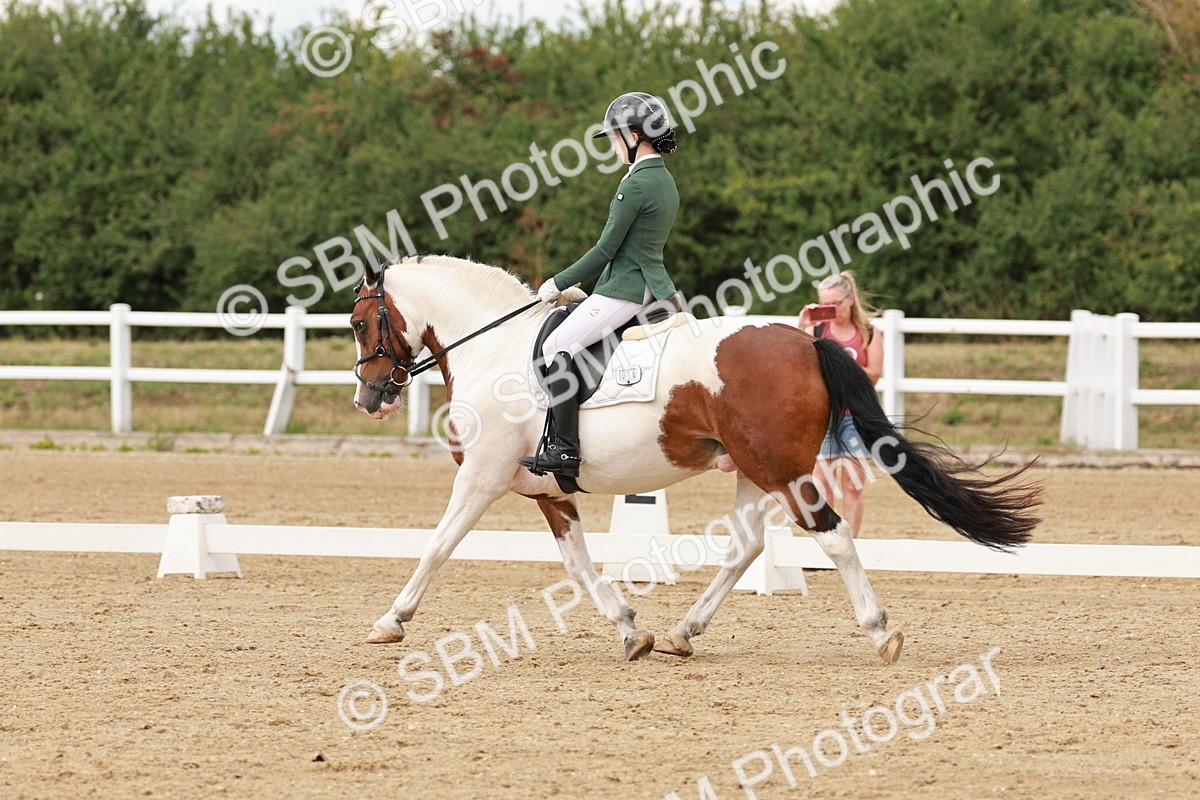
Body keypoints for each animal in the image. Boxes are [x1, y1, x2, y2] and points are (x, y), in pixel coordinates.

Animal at [350, 254, 1041, 664]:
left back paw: (880, 630)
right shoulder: (547, 490)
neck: (493, 350)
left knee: (832, 536)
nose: (368, 397)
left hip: (782, 470)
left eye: (359, 323)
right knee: (747, 545)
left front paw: (391, 620)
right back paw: (684, 633)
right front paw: (631, 630)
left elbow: (438, 544)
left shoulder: (482, 476)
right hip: (755, 472)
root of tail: (806, 343)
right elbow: (578, 565)